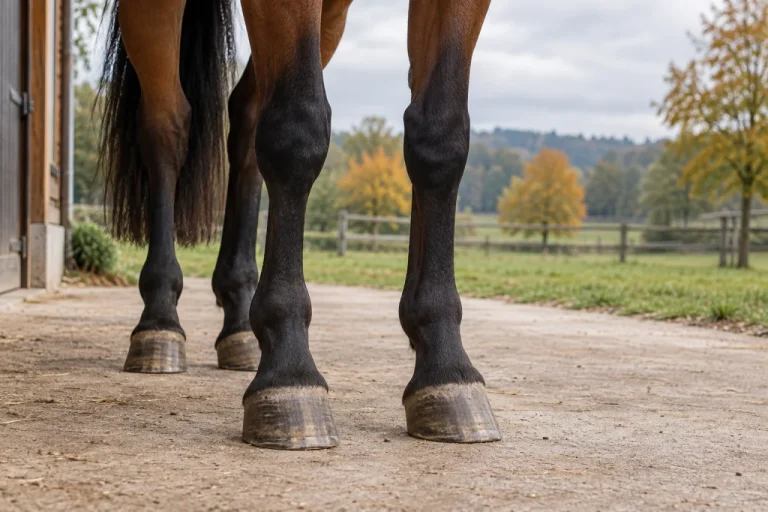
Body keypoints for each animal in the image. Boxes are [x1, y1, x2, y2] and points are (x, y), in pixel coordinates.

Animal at [98, 0, 499, 450]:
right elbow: (296, 130)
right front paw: (289, 369)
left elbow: (439, 138)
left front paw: (445, 364)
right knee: (167, 127)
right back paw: (160, 319)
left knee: (246, 117)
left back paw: (240, 321)